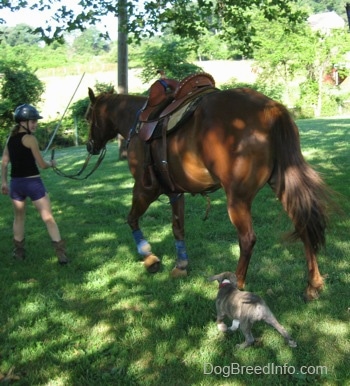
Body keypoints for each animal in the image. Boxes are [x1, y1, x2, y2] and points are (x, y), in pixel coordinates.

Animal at [86, 86, 332, 300]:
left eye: (88, 117)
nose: (90, 146)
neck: (137, 123)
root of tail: (270, 109)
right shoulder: (176, 192)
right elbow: (178, 228)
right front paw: (181, 265)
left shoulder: (144, 189)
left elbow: (132, 219)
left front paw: (150, 258)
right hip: (282, 184)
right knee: (304, 226)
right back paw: (313, 284)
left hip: (237, 198)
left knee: (247, 239)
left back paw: (237, 286)